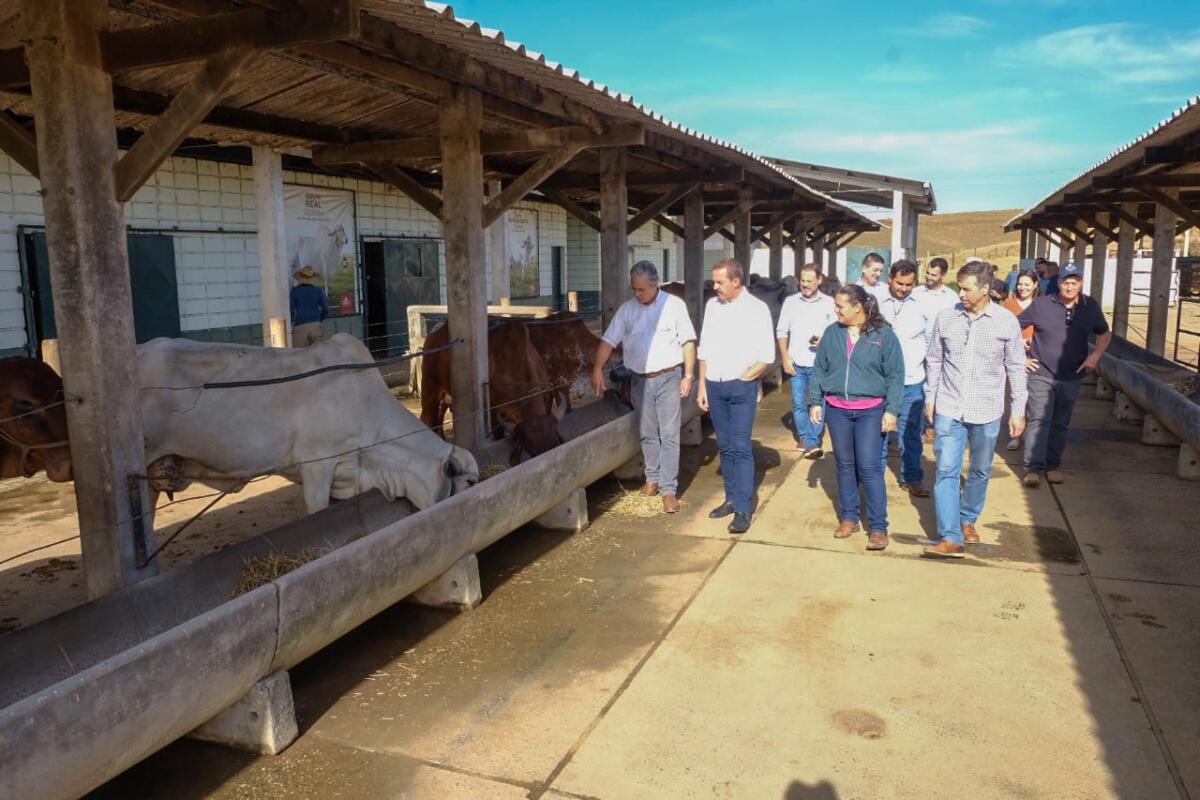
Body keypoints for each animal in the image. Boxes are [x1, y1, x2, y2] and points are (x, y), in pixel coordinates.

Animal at [420, 318, 564, 461]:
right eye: (532, 451)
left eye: (555, 444)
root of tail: (434, 333)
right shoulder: (494, 412)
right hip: (430, 392)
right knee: (428, 419)